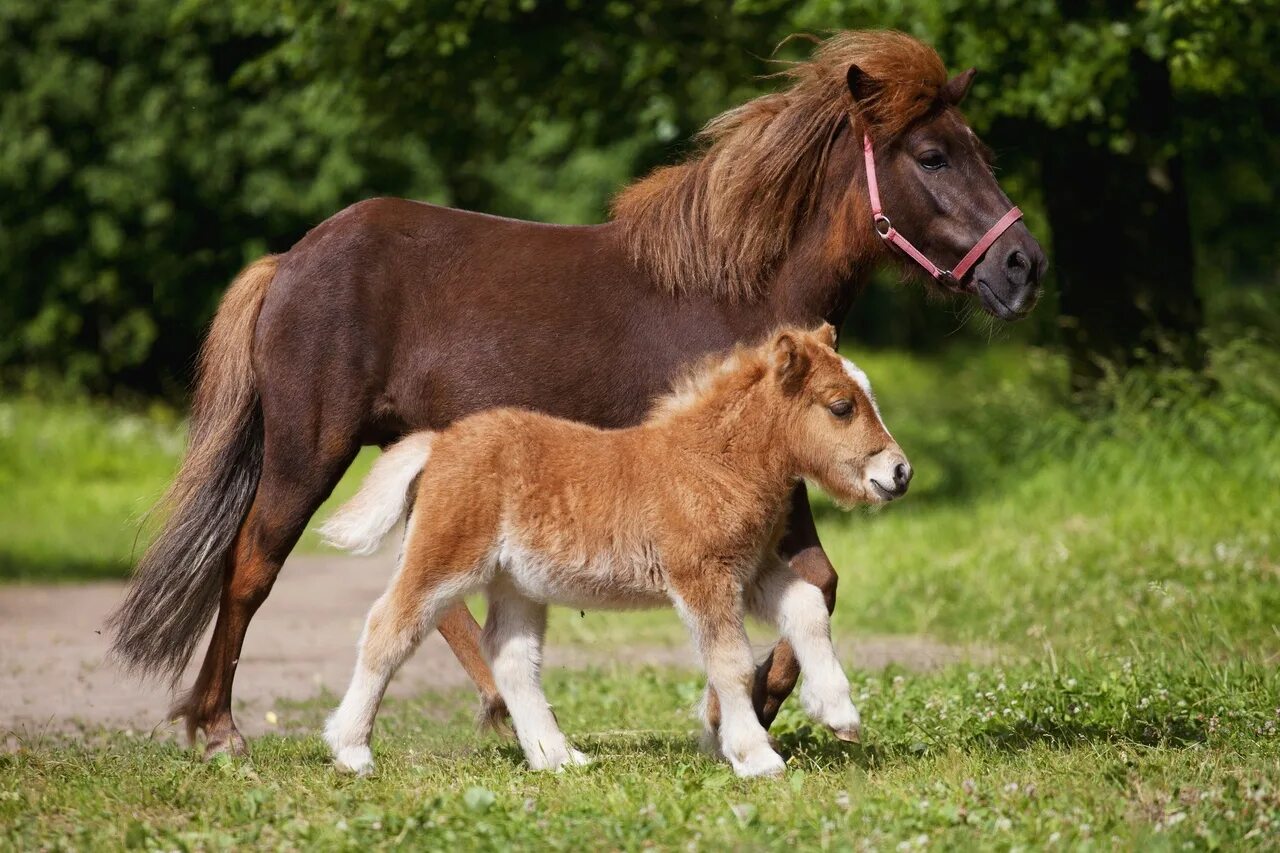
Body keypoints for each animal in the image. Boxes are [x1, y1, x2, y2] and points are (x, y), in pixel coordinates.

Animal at [314, 325, 906, 778]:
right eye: (840, 407)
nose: (900, 472)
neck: (714, 462)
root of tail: (439, 444)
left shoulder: (751, 567)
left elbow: (806, 605)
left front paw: (838, 712)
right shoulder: (702, 575)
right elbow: (732, 664)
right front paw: (755, 757)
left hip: (515, 582)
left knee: (510, 656)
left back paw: (557, 758)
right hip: (445, 557)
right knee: (389, 629)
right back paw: (352, 751)